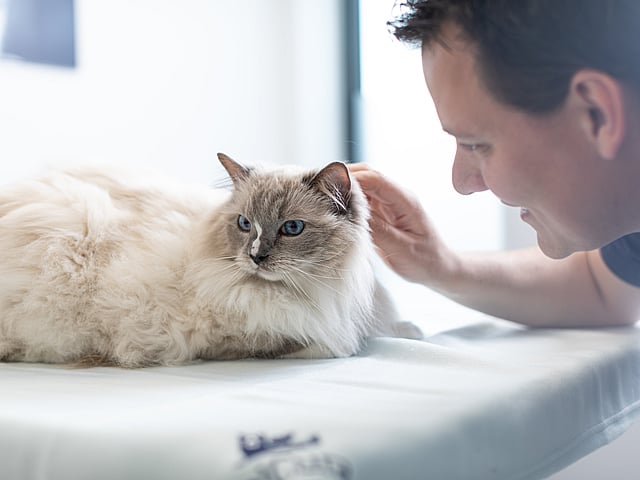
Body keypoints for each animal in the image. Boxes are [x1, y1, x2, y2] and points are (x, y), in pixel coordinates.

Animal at [0, 154, 421, 367]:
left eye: (292, 228)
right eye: (244, 224)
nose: (255, 256)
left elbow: (394, 328)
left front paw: (408, 331)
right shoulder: (241, 336)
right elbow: (326, 344)